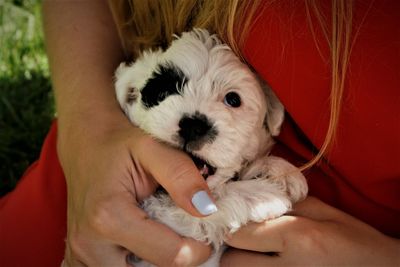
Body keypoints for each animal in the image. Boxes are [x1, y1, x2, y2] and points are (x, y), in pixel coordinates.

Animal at [114, 28, 308, 267]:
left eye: (233, 99)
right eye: (162, 92)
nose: (193, 125)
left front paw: (279, 170)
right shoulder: (162, 218)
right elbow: (205, 207)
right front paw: (261, 195)